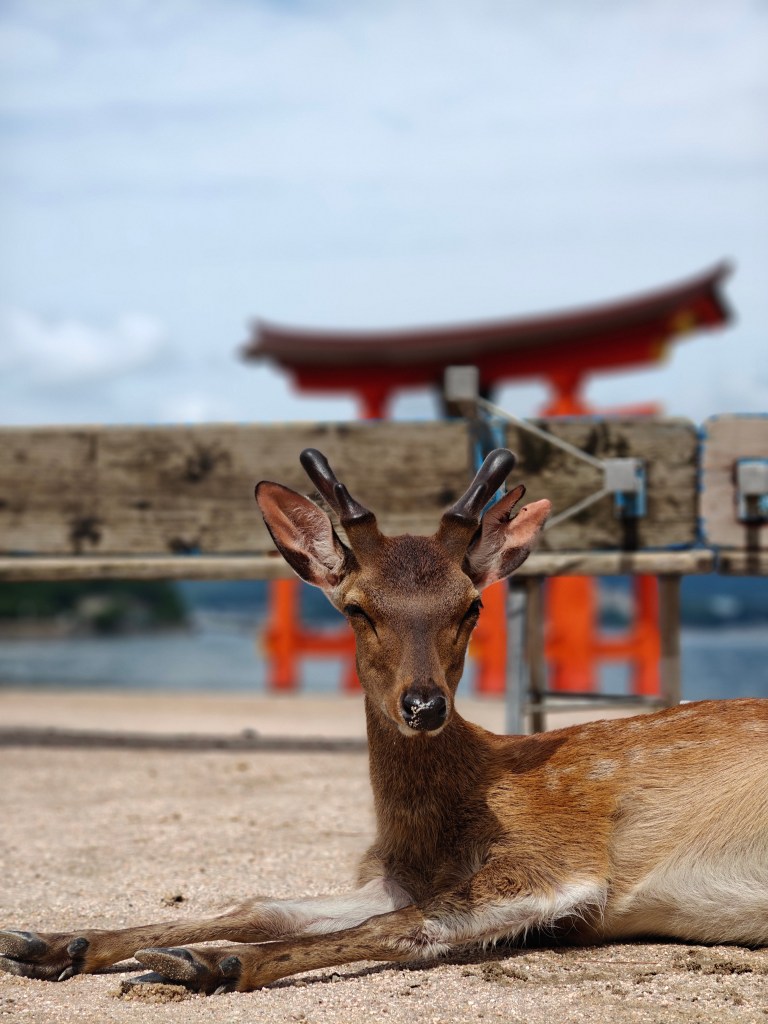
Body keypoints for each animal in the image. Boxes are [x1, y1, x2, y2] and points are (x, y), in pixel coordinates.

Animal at [1, 447, 766, 994]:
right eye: (357, 607)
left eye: (472, 606)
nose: (424, 704)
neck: (440, 821)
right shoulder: (400, 873)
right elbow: (267, 899)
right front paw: (50, 941)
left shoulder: (562, 858)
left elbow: (412, 924)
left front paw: (208, 962)